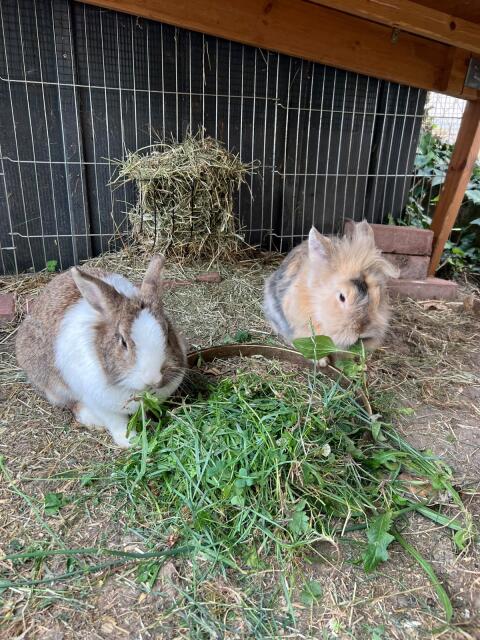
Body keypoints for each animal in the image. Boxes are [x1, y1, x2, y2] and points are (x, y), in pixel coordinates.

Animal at [16, 255, 187, 448]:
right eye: (123, 342)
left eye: (168, 332)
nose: (153, 378)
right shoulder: (99, 403)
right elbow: (117, 424)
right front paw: (130, 442)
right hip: (53, 385)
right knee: (70, 403)